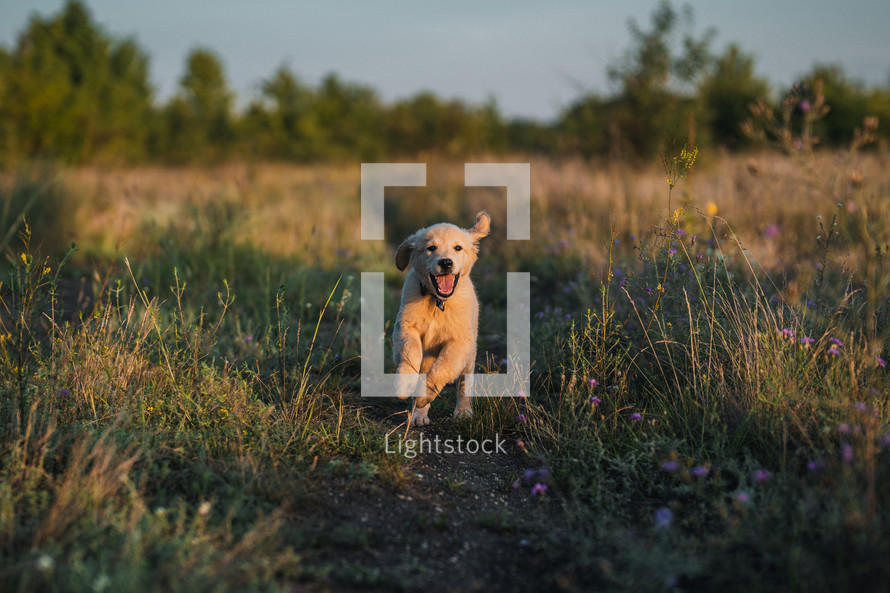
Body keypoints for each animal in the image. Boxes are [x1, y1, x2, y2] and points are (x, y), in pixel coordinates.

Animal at [396, 210, 492, 424]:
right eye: (431, 248)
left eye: (458, 248)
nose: (446, 262)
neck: (438, 302)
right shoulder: (405, 327)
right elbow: (410, 351)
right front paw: (405, 384)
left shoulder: (460, 342)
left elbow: (443, 368)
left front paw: (423, 395)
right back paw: (418, 415)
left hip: (470, 356)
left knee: (464, 383)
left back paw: (463, 412)